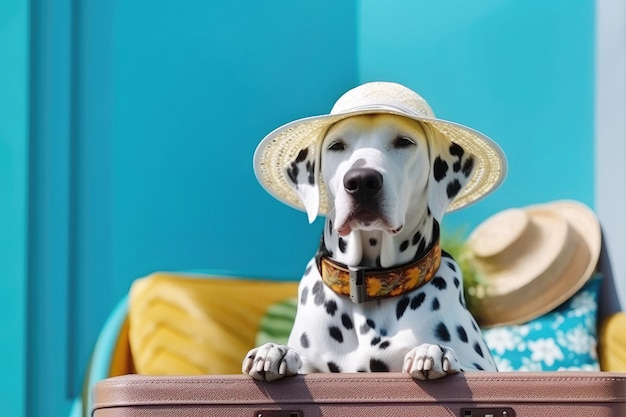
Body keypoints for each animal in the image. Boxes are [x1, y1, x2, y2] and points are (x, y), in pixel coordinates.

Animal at [241, 112, 494, 378]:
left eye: (404, 142)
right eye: (336, 146)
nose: (361, 180)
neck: (372, 283)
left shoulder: (483, 367)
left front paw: (433, 350)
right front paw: (276, 351)